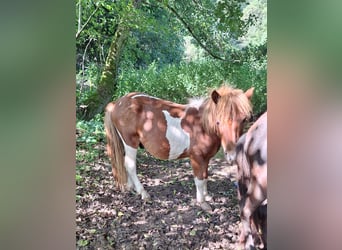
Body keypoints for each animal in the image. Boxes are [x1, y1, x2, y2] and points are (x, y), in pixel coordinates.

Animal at [105, 85, 254, 210]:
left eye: (244, 119)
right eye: (218, 121)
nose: (232, 155)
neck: (202, 126)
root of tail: (117, 103)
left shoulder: (205, 158)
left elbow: (205, 176)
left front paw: (206, 196)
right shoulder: (196, 159)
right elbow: (199, 180)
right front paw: (202, 203)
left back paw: (131, 187)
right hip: (130, 143)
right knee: (130, 165)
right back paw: (143, 193)